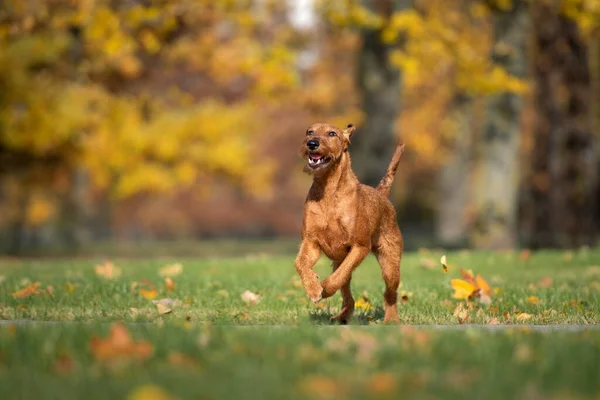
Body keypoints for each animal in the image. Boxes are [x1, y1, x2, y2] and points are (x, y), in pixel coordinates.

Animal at [292, 122, 406, 324]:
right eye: (309, 132)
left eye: (332, 134)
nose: (311, 143)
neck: (328, 190)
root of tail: (381, 194)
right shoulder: (311, 242)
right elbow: (301, 263)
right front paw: (313, 288)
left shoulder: (360, 246)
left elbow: (338, 277)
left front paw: (324, 288)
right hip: (339, 260)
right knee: (348, 295)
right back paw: (342, 316)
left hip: (390, 262)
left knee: (390, 293)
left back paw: (391, 319)